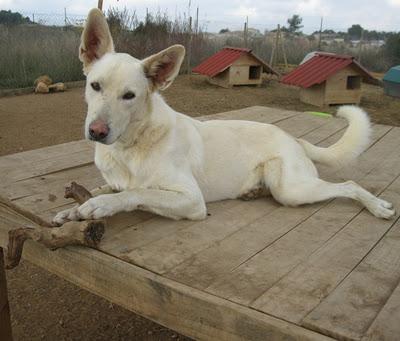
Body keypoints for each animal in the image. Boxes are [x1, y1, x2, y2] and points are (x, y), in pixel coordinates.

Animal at [53, 7, 394, 224]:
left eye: (129, 96)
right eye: (95, 86)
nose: (97, 131)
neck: (130, 147)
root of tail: (295, 138)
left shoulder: (191, 199)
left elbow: (138, 191)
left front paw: (99, 205)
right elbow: (111, 188)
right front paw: (73, 209)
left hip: (293, 190)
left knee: (349, 184)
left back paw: (377, 206)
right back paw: (253, 191)